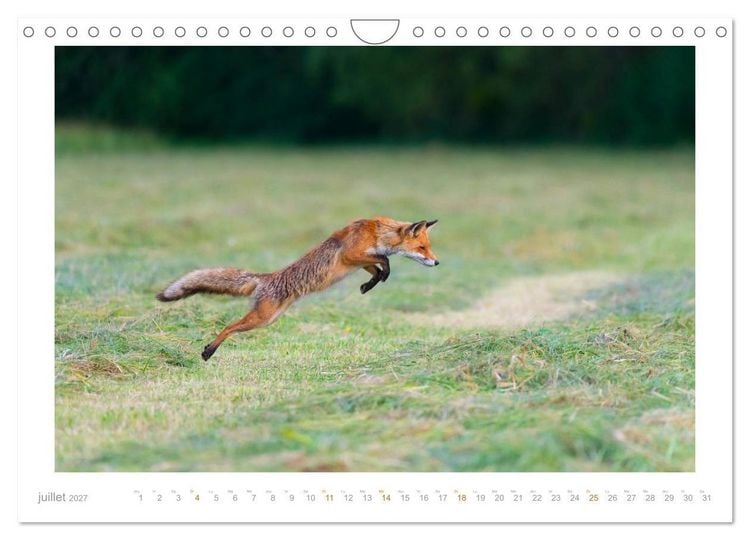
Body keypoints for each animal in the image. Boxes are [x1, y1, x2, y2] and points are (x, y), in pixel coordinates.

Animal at [156, 216, 439, 360]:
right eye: (422, 248)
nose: (437, 262)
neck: (379, 232)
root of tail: (268, 278)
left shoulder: (358, 261)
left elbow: (379, 267)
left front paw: (369, 285)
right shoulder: (351, 255)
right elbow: (385, 261)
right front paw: (378, 279)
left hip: (269, 319)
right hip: (261, 318)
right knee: (228, 327)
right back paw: (208, 351)